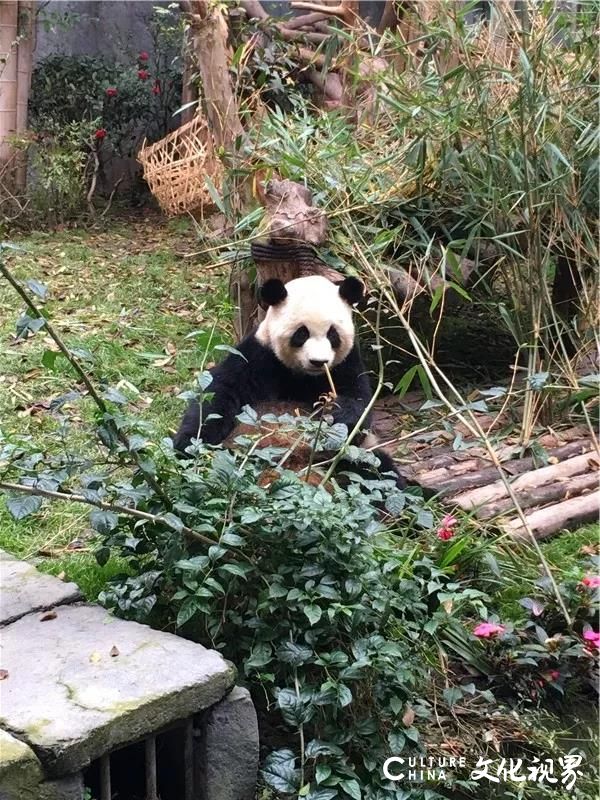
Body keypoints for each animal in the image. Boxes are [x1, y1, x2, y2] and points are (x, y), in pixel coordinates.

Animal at [176, 274, 406, 488]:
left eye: (332, 334)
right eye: (302, 333)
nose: (318, 361)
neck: (304, 376)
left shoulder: (347, 365)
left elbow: (360, 406)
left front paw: (336, 415)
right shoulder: (258, 356)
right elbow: (219, 395)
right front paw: (189, 446)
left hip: (358, 456)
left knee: (378, 472)